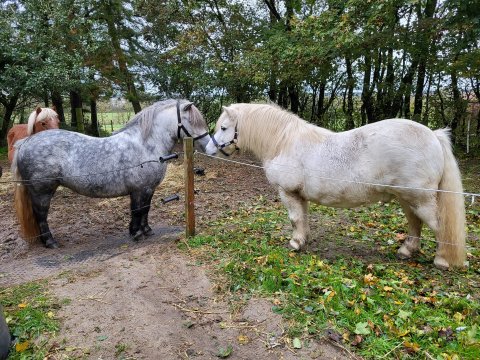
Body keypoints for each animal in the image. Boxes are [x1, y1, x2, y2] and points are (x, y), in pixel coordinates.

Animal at [10, 100, 210, 249]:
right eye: (192, 121)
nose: (209, 147)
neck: (145, 144)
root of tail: (25, 143)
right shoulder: (139, 189)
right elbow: (138, 210)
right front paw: (137, 233)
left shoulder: (148, 189)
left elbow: (145, 209)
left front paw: (145, 230)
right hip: (42, 191)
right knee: (41, 214)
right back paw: (50, 242)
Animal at [205, 102, 464, 268]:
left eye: (224, 128)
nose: (208, 150)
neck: (284, 142)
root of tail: (434, 135)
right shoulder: (299, 195)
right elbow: (303, 219)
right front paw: (303, 240)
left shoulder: (288, 192)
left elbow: (295, 219)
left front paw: (295, 243)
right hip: (407, 199)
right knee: (415, 224)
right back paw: (406, 251)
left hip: (420, 199)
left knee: (440, 227)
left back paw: (442, 260)